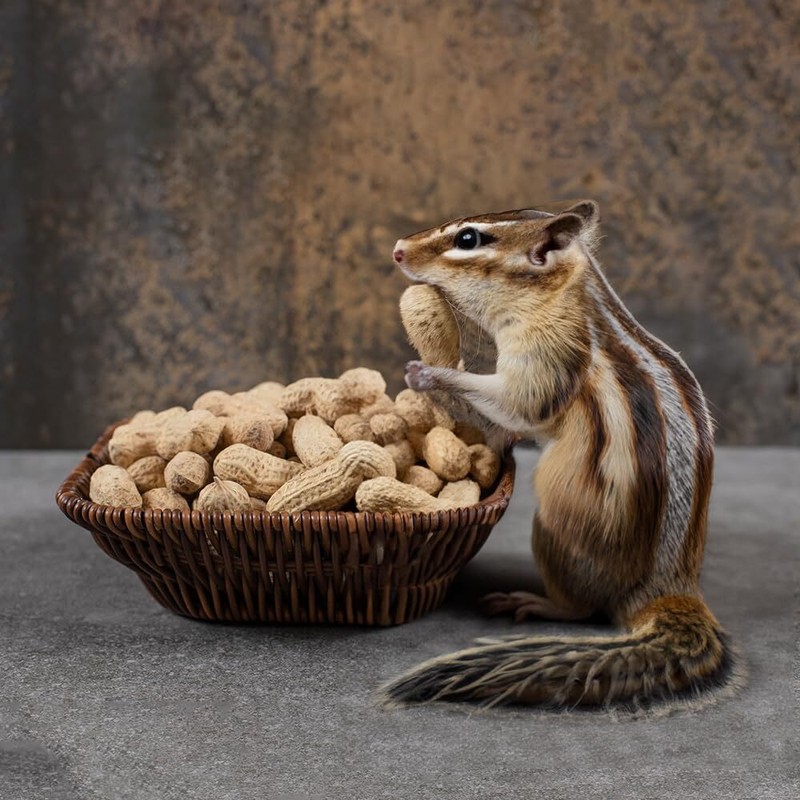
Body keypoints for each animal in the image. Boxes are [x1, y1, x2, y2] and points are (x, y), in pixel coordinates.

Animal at [380, 200, 741, 712]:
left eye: (469, 239)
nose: (396, 250)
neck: (562, 298)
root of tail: (670, 590)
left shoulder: (549, 356)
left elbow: (517, 403)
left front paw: (427, 373)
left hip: (553, 534)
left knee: (583, 609)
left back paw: (533, 603)